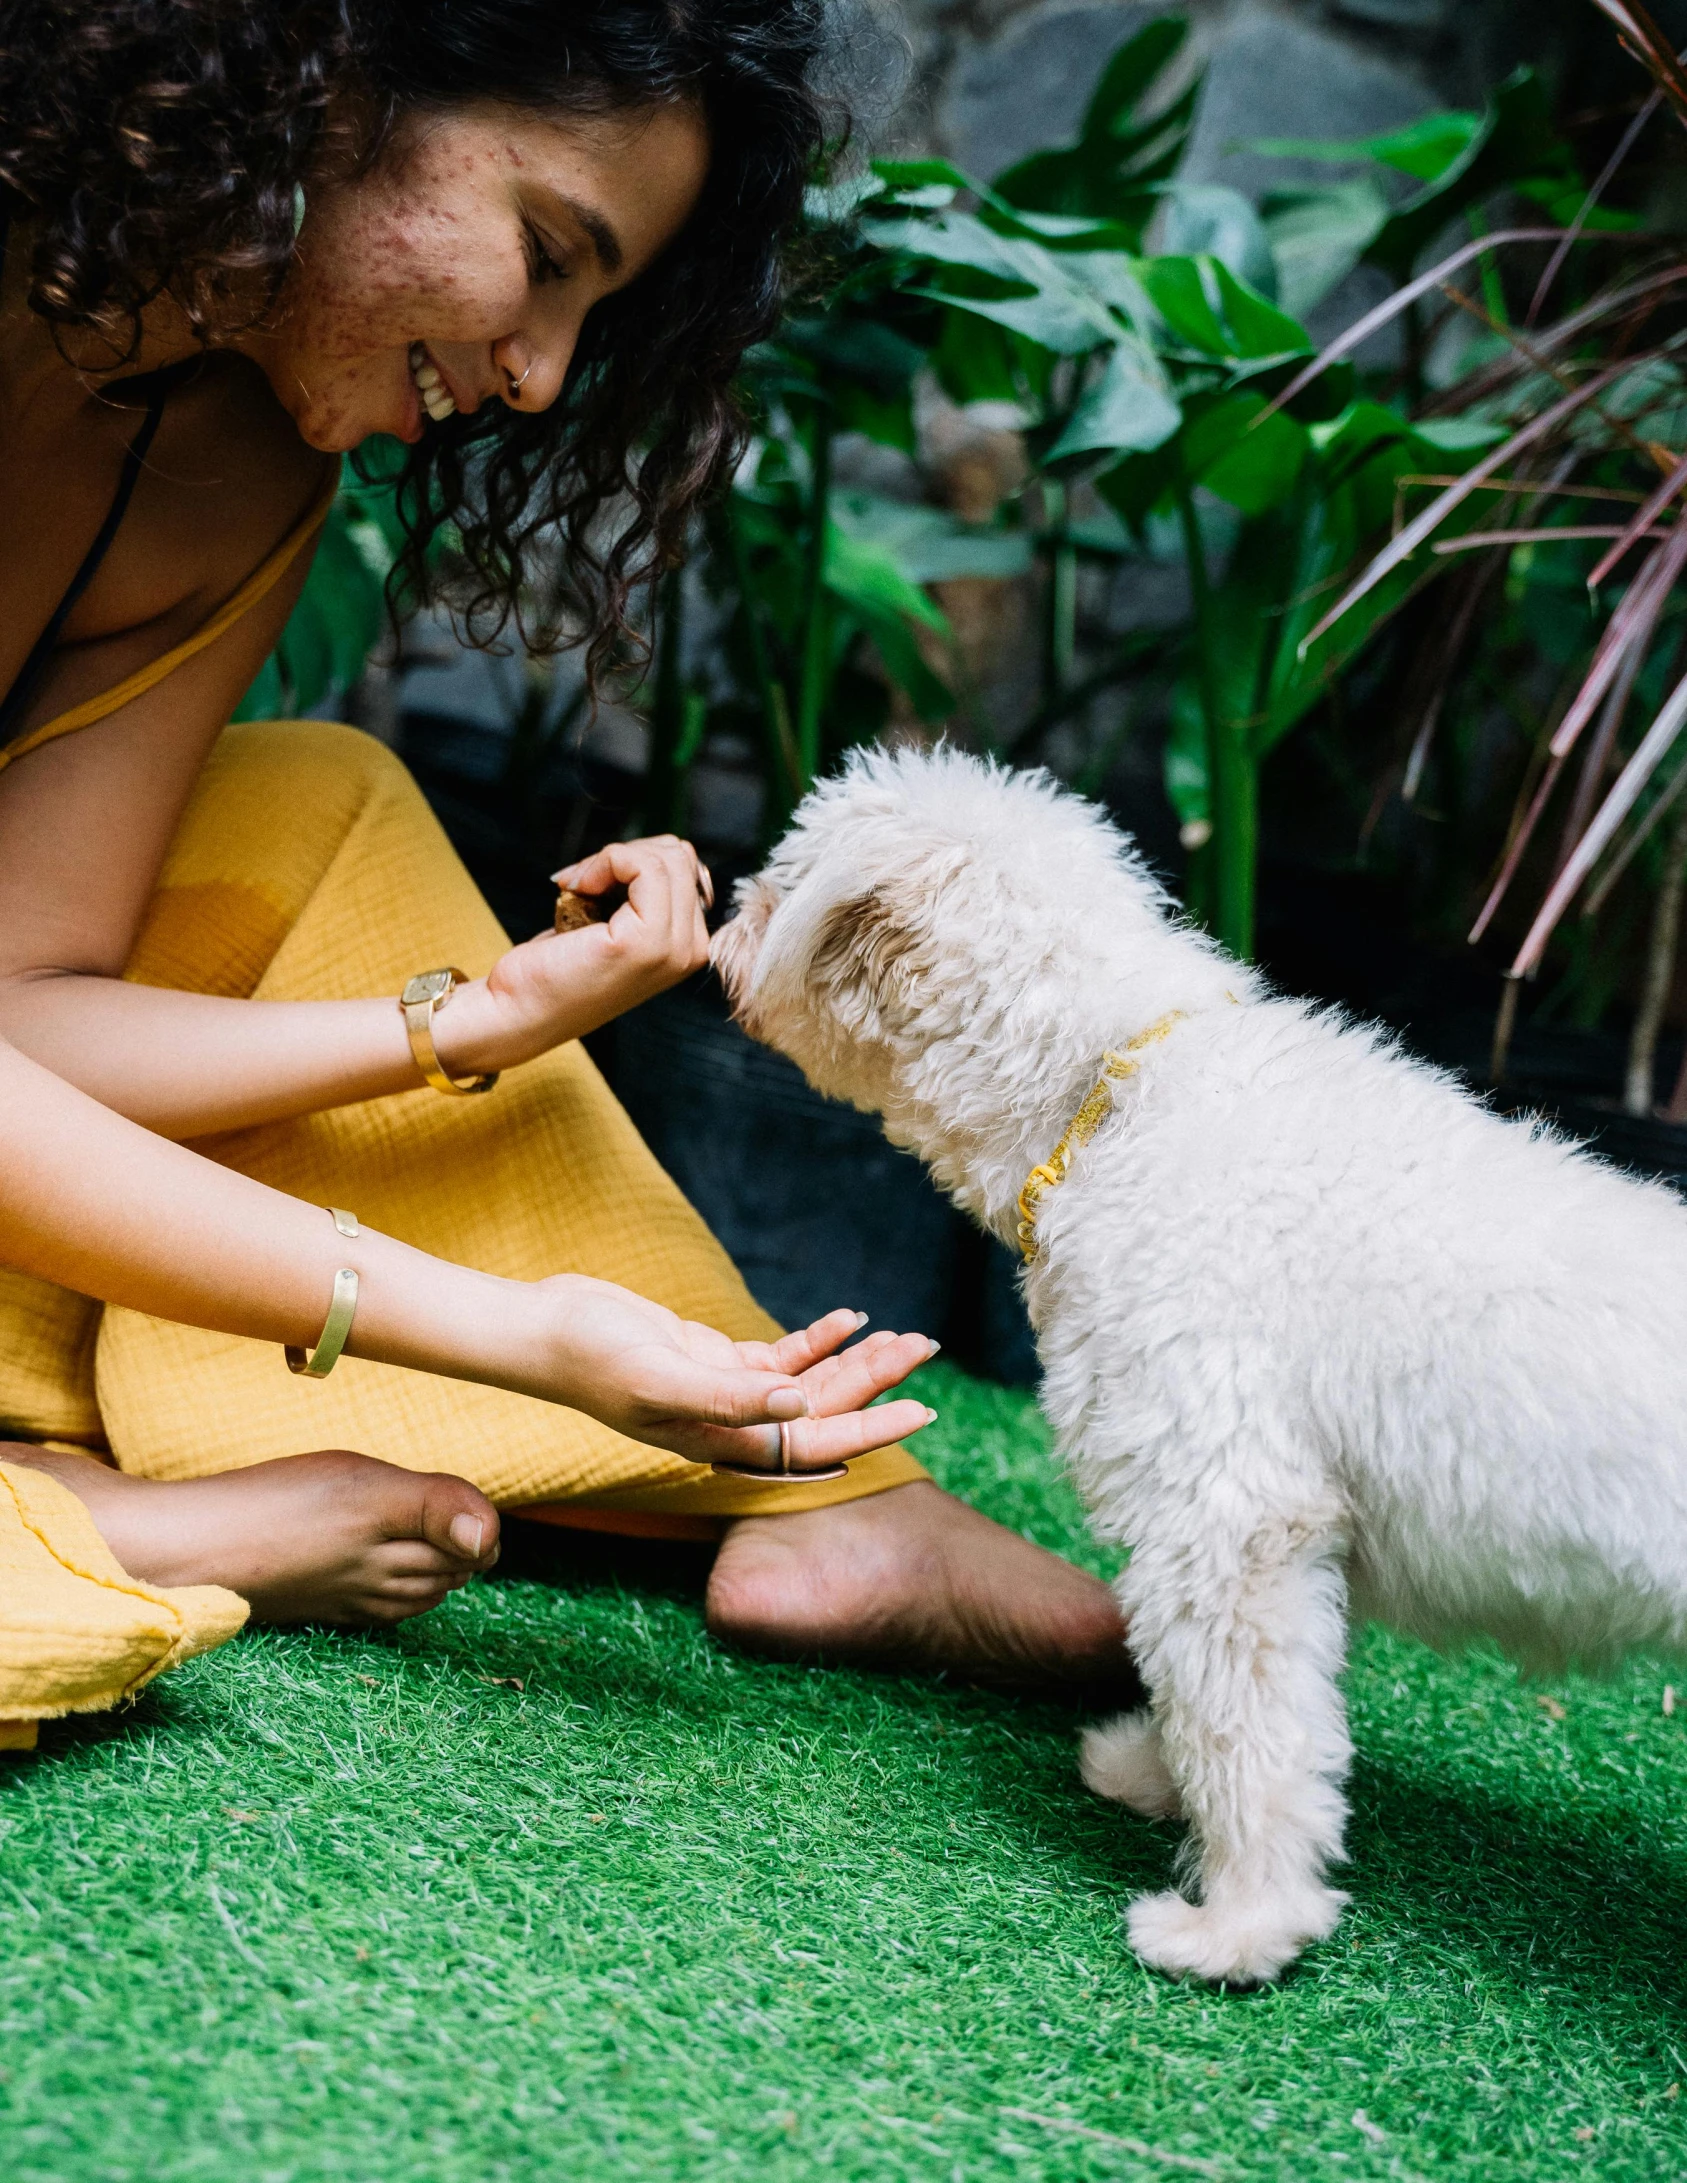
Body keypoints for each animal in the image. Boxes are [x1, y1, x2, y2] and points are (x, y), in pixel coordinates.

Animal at [702, 750, 1684, 1999]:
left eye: (778, 883)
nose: (719, 923)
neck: (1109, 1091)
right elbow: (1242, 1706)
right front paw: (1156, 1780)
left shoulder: (1224, 1516)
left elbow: (1243, 1728)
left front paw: (1243, 1926)